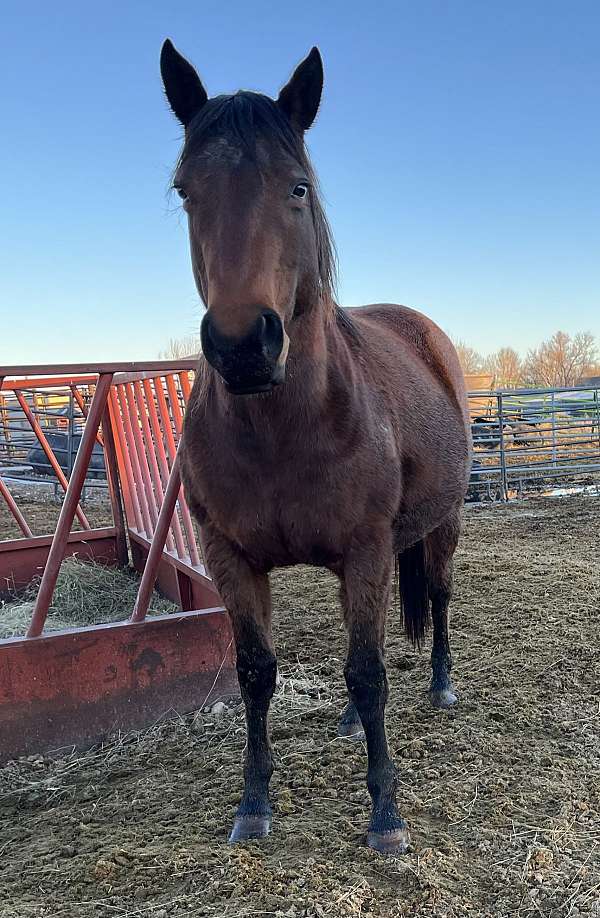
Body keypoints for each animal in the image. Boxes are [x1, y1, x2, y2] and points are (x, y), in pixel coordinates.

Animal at [159, 36, 474, 856]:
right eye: (186, 192)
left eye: (297, 188)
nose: (243, 346)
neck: (283, 430)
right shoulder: (229, 558)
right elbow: (255, 674)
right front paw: (253, 804)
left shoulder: (366, 549)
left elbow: (368, 673)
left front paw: (386, 815)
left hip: (444, 525)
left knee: (438, 599)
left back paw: (441, 684)